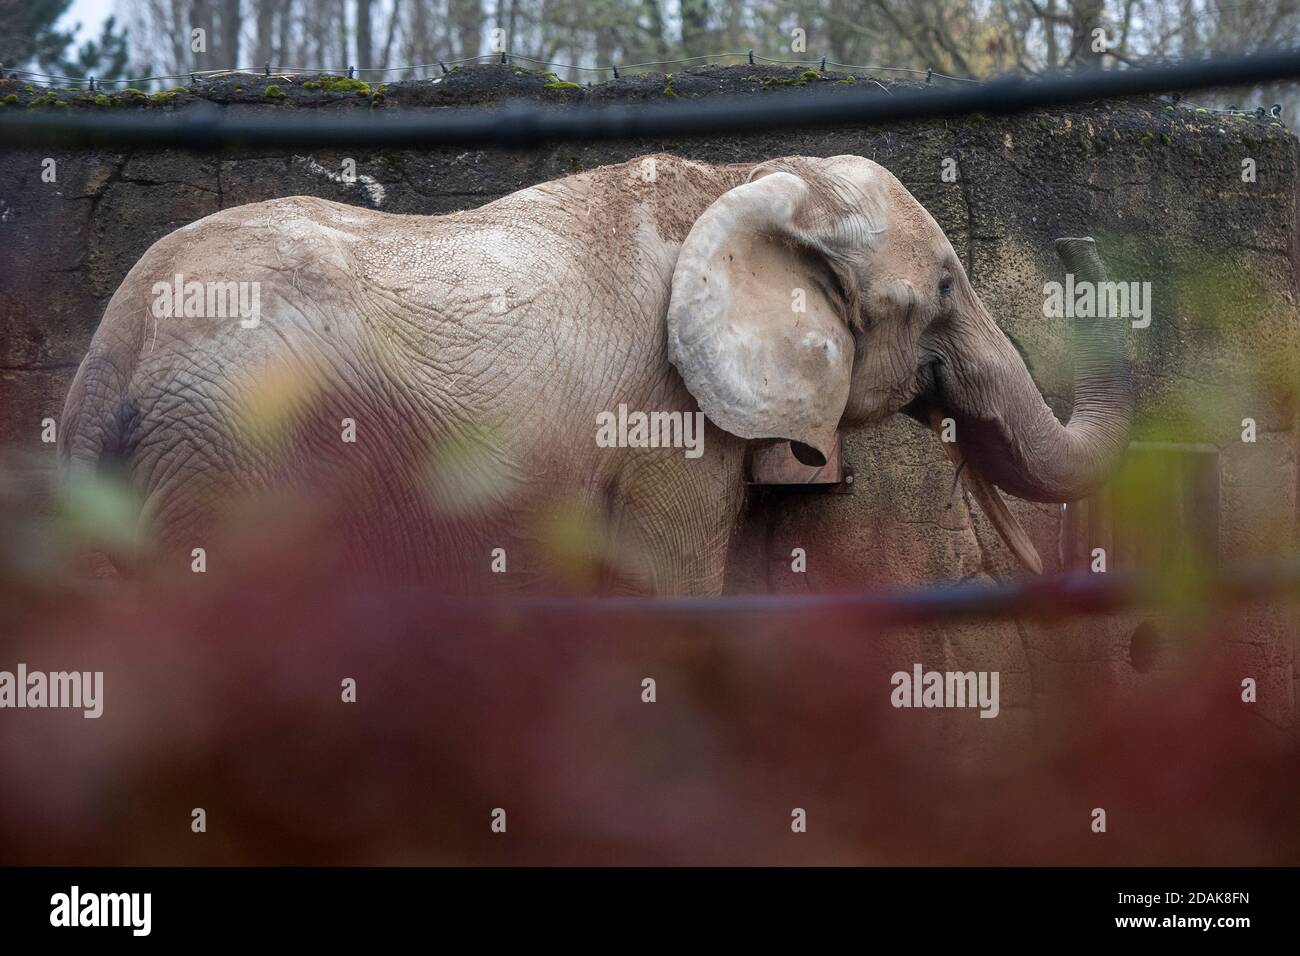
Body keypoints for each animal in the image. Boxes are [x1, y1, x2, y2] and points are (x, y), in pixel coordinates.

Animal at [61, 153, 1133, 595]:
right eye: (945, 286)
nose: (1080, 242)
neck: (751, 179)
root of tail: (111, 352)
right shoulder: (669, 419)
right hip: (228, 454)